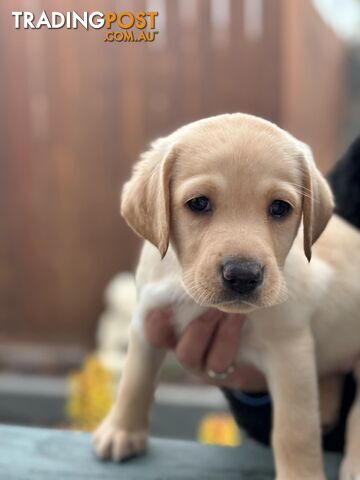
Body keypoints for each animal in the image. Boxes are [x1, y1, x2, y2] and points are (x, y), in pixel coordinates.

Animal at [93, 115, 360, 480]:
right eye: (198, 203)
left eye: (280, 208)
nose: (243, 275)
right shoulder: (146, 319)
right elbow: (134, 378)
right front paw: (121, 431)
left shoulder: (290, 351)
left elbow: (294, 429)